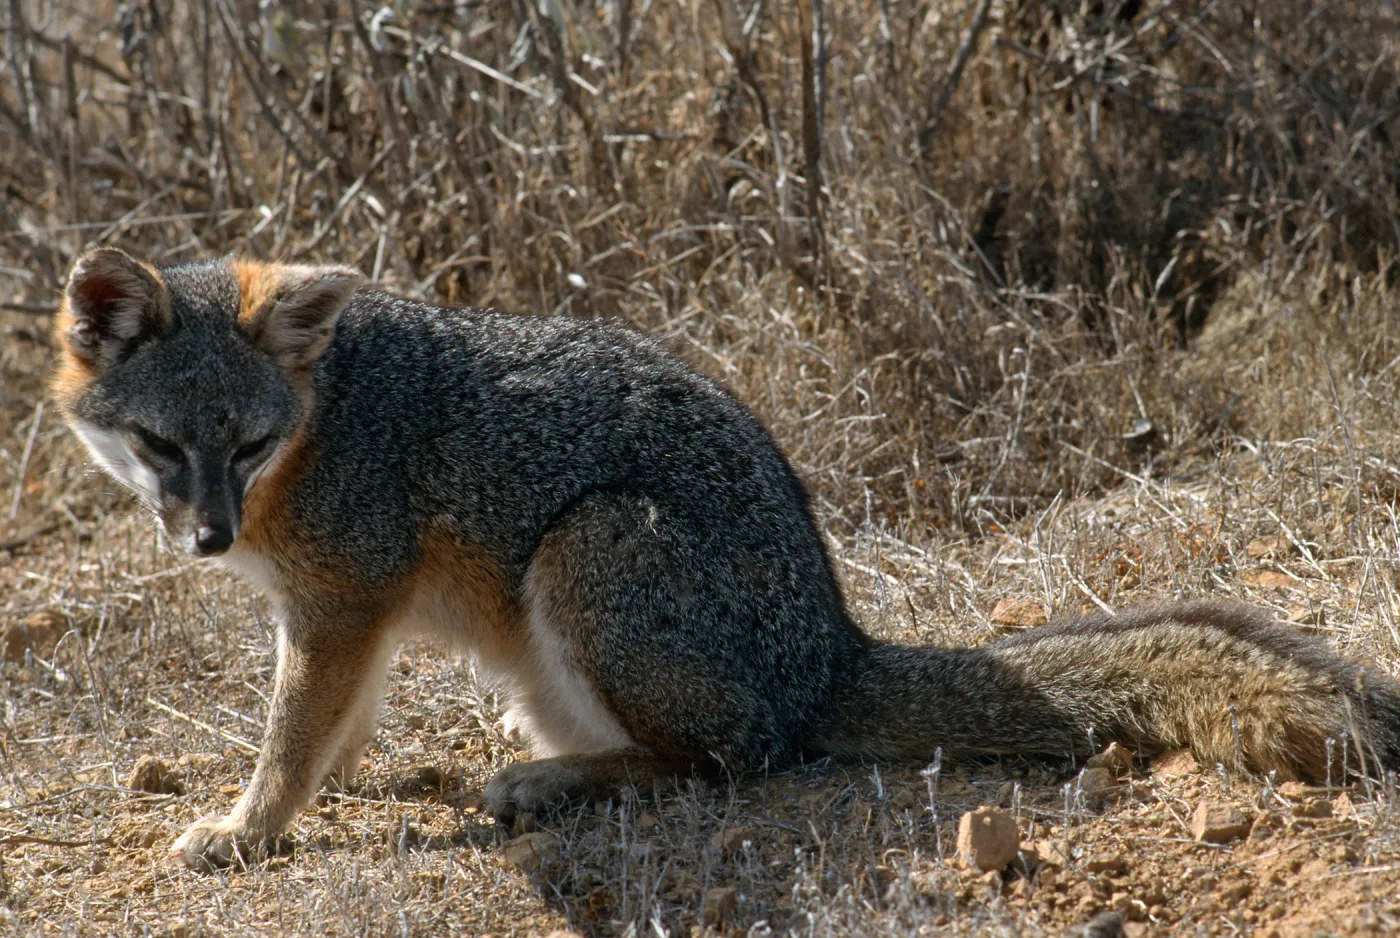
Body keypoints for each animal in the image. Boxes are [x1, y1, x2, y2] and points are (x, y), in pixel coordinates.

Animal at [50, 247, 1400, 870]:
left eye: (249, 442)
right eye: (164, 446)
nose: (210, 536)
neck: (325, 415)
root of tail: (831, 647)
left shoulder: (341, 598)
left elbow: (289, 737)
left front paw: (245, 828)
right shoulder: (342, 614)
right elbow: (332, 725)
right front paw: (325, 787)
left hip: (590, 546)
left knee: (728, 757)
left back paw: (554, 780)